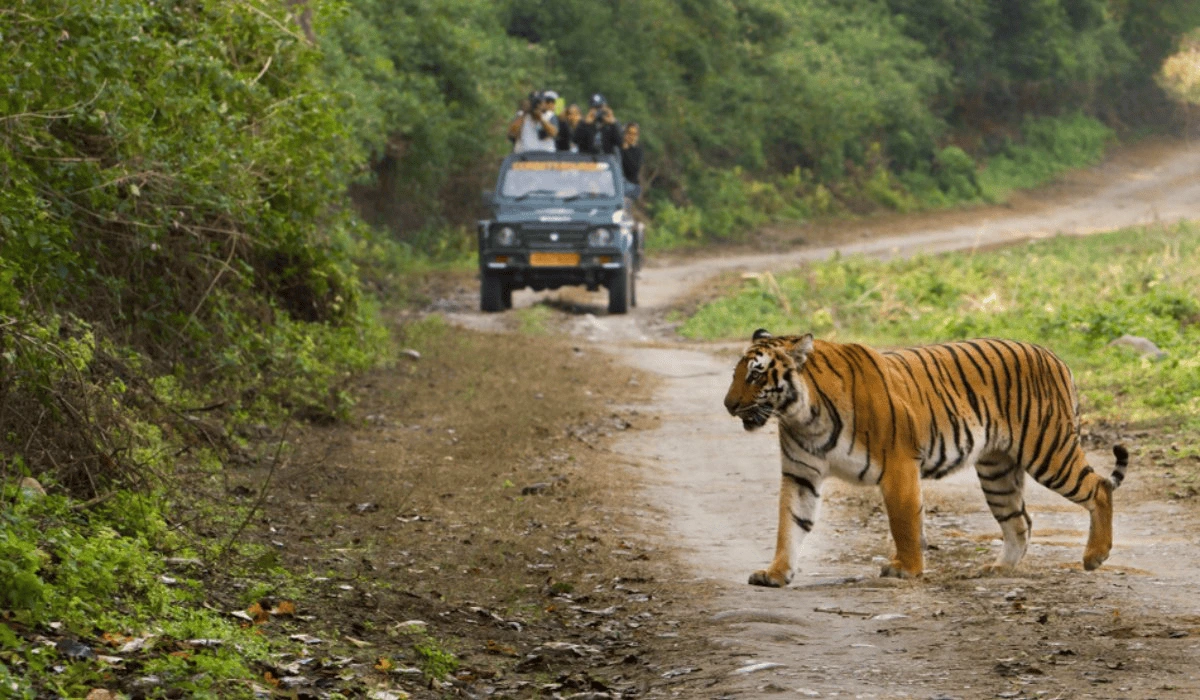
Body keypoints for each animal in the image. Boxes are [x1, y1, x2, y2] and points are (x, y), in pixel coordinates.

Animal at [723, 329, 1129, 587]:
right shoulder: (801, 475)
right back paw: (999, 569)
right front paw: (776, 574)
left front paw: (907, 569)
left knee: (1099, 487)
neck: (802, 415)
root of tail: (1054, 356)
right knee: (1020, 521)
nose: (728, 405)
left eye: (756, 375)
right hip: (997, 470)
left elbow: (903, 523)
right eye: (736, 374)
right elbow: (789, 525)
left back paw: (1095, 556)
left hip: (1048, 450)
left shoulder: (898, 465)